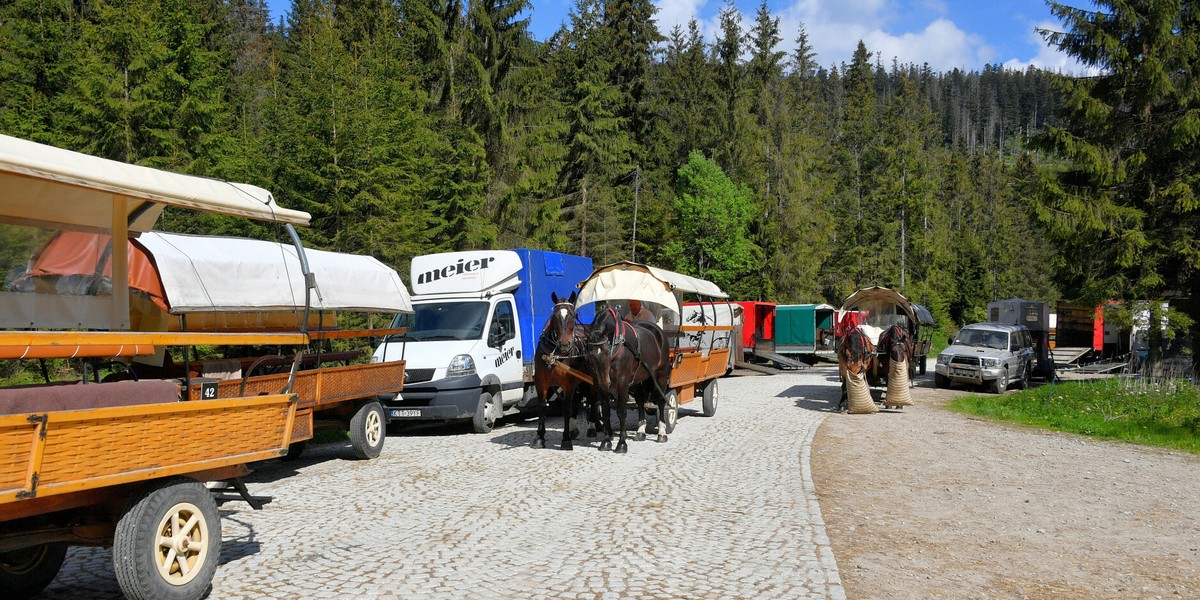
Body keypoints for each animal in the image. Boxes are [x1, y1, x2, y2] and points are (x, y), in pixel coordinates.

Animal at [532, 290, 597, 451]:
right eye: (555, 316)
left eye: (573, 315)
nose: (565, 344)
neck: (555, 354)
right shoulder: (541, 383)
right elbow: (542, 407)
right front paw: (539, 437)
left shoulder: (568, 384)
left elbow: (566, 409)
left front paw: (566, 440)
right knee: (577, 402)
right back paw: (574, 430)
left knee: (592, 401)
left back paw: (592, 427)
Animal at [583, 307, 672, 451]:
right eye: (590, 355)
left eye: (607, 352)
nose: (606, 382)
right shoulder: (598, 384)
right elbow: (606, 411)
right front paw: (606, 441)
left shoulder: (623, 382)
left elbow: (621, 412)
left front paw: (621, 443)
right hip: (638, 380)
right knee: (640, 401)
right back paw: (640, 431)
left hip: (661, 376)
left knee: (661, 401)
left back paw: (662, 433)